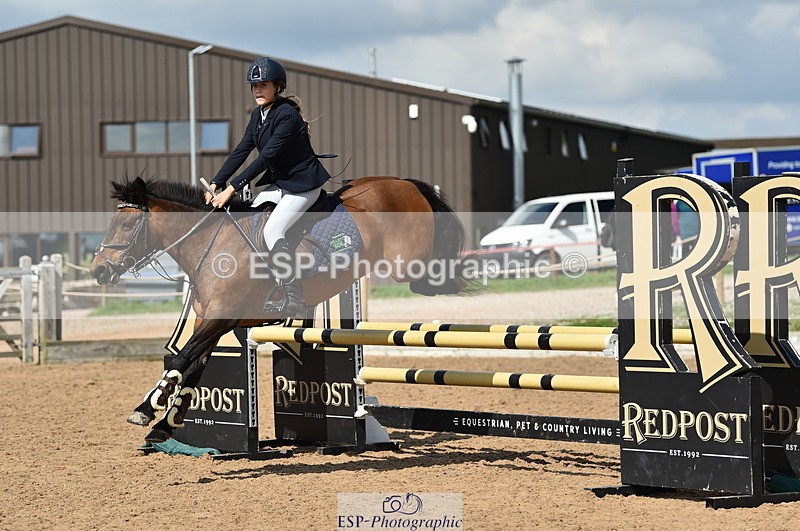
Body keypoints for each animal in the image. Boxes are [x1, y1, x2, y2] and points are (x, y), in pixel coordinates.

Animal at [89, 176, 468, 444]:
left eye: (126, 225)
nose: (98, 271)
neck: (210, 244)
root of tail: (403, 182)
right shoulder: (212, 321)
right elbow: (192, 366)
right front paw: (166, 425)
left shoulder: (220, 317)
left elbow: (182, 359)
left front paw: (146, 409)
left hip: (406, 262)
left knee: (428, 273)